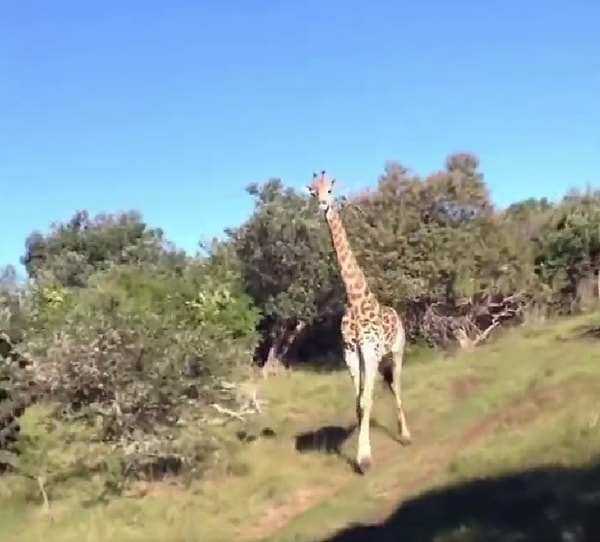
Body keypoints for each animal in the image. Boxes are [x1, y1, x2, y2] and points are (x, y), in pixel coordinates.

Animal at [308, 170, 410, 476]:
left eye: (330, 189)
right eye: (312, 192)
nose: (323, 206)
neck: (355, 299)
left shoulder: (371, 350)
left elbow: (365, 400)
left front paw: (364, 460)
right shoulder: (351, 352)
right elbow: (359, 403)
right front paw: (362, 455)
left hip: (397, 350)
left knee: (396, 384)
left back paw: (405, 435)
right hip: (373, 358)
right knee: (385, 387)